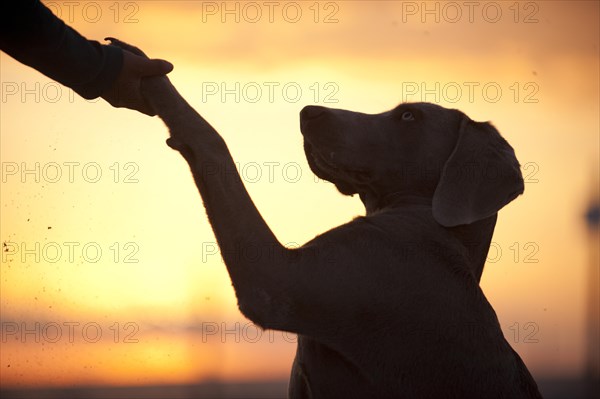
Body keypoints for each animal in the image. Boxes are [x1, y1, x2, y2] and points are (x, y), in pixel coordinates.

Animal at [106, 38, 544, 399]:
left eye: (408, 117)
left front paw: (143, 70)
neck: (437, 226)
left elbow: (211, 141)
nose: (308, 111)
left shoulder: (279, 282)